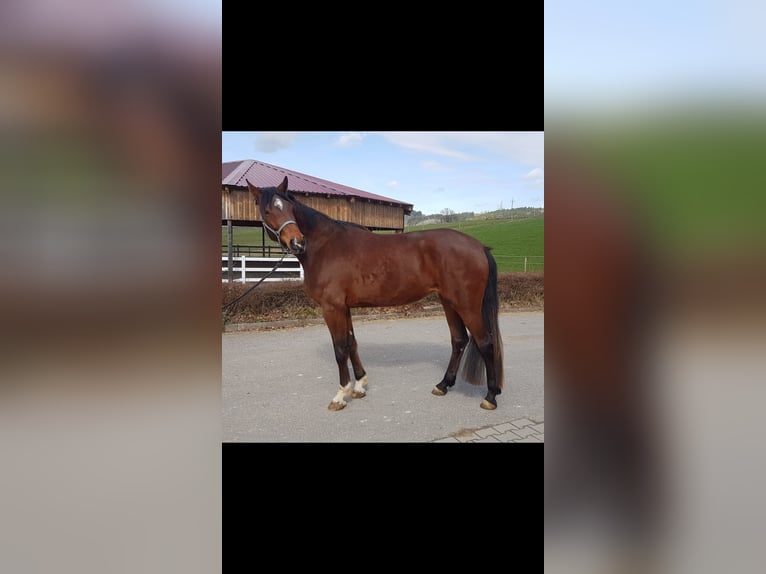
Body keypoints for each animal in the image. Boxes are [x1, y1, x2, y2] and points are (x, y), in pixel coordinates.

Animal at [246, 176, 504, 411]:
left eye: (290, 208)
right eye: (268, 211)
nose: (298, 242)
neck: (325, 246)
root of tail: (479, 247)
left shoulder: (332, 308)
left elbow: (340, 349)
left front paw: (340, 395)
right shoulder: (344, 307)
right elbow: (351, 343)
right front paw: (359, 386)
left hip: (467, 305)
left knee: (485, 342)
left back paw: (490, 396)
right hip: (449, 302)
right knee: (459, 340)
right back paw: (443, 385)